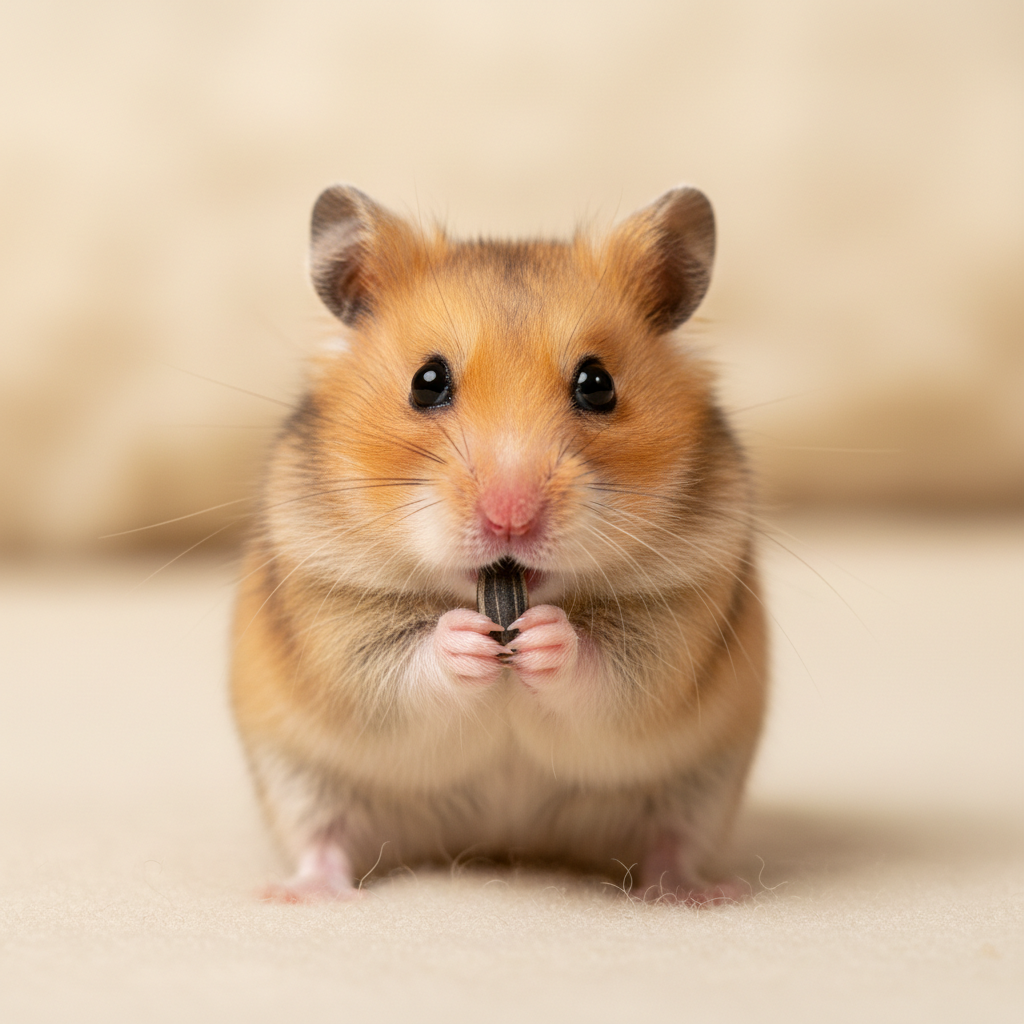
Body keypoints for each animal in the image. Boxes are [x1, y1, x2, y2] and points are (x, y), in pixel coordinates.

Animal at [231, 184, 768, 904]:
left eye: (597, 383)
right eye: (426, 381)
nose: (510, 519)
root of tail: (506, 841)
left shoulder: (676, 621)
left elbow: (610, 671)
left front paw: (544, 637)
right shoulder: (335, 615)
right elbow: (401, 667)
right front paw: (467, 639)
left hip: (702, 787)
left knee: (671, 846)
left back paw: (702, 894)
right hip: (297, 777)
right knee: (323, 840)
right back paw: (297, 894)